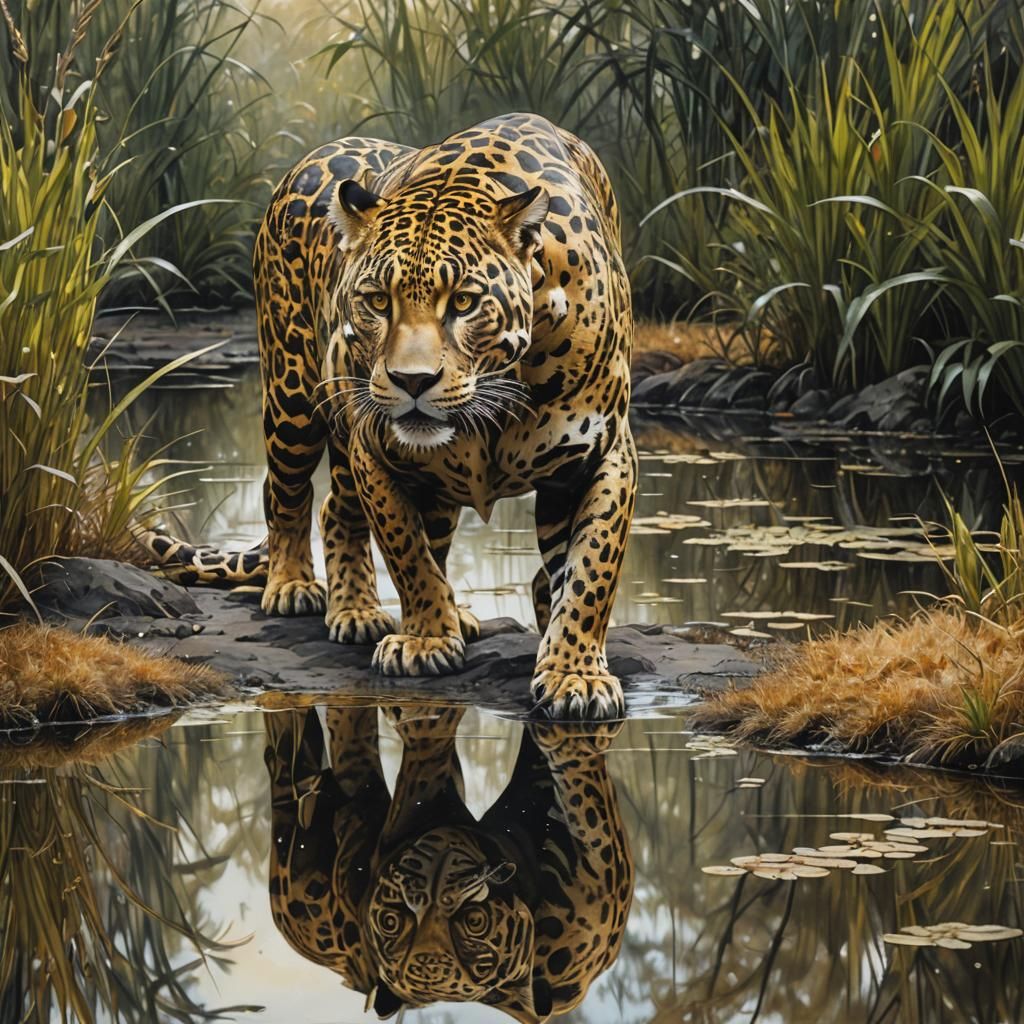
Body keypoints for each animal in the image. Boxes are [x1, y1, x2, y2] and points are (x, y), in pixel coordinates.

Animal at [138, 112, 637, 720]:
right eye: (378, 300)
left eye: (464, 302)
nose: (411, 381)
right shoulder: (372, 448)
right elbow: (406, 552)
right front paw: (425, 640)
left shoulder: (600, 456)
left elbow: (591, 571)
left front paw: (574, 674)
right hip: (290, 398)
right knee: (296, 496)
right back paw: (307, 592)